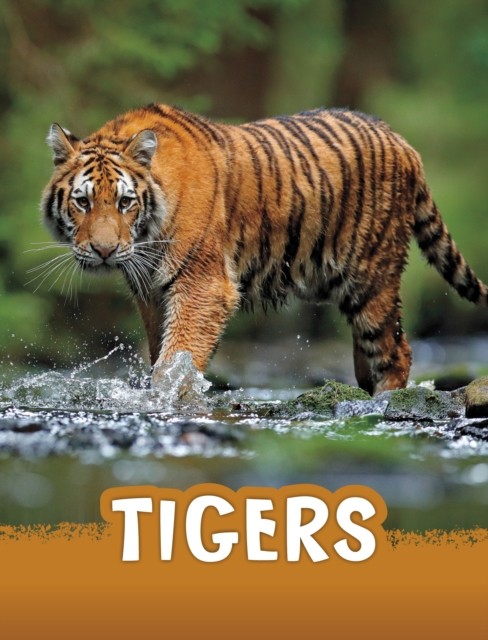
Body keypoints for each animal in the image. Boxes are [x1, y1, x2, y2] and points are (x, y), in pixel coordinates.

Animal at [41, 104, 488, 395]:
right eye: (83, 202)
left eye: (124, 202)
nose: (103, 250)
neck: (147, 233)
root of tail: (402, 142)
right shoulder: (151, 291)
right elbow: (160, 350)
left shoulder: (203, 284)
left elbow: (177, 356)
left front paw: (167, 396)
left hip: (371, 278)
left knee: (396, 352)